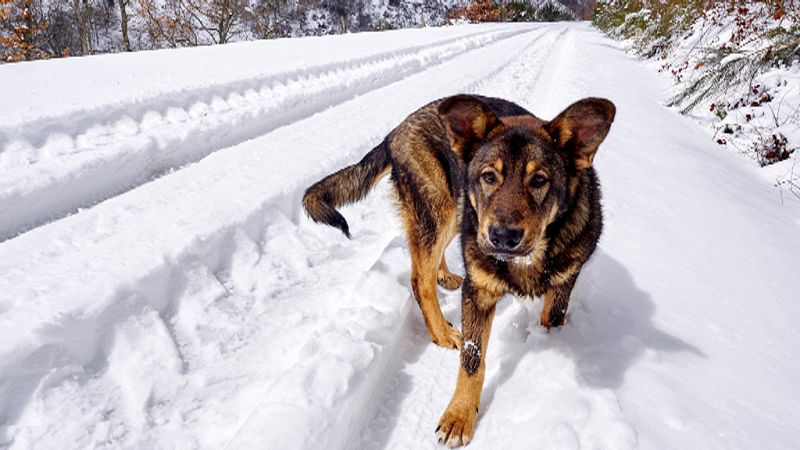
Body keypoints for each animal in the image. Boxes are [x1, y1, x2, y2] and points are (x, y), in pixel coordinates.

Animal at [304, 93, 616, 444]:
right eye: (489, 177)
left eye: (539, 181)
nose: (502, 237)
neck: (527, 258)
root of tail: (396, 130)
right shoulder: (477, 292)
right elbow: (472, 360)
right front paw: (459, 416)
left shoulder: (565, 282)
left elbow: (551, 318)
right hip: (438, 208)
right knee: (419, 278)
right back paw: (441, 332)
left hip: (455, 211)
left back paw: (444, 275)